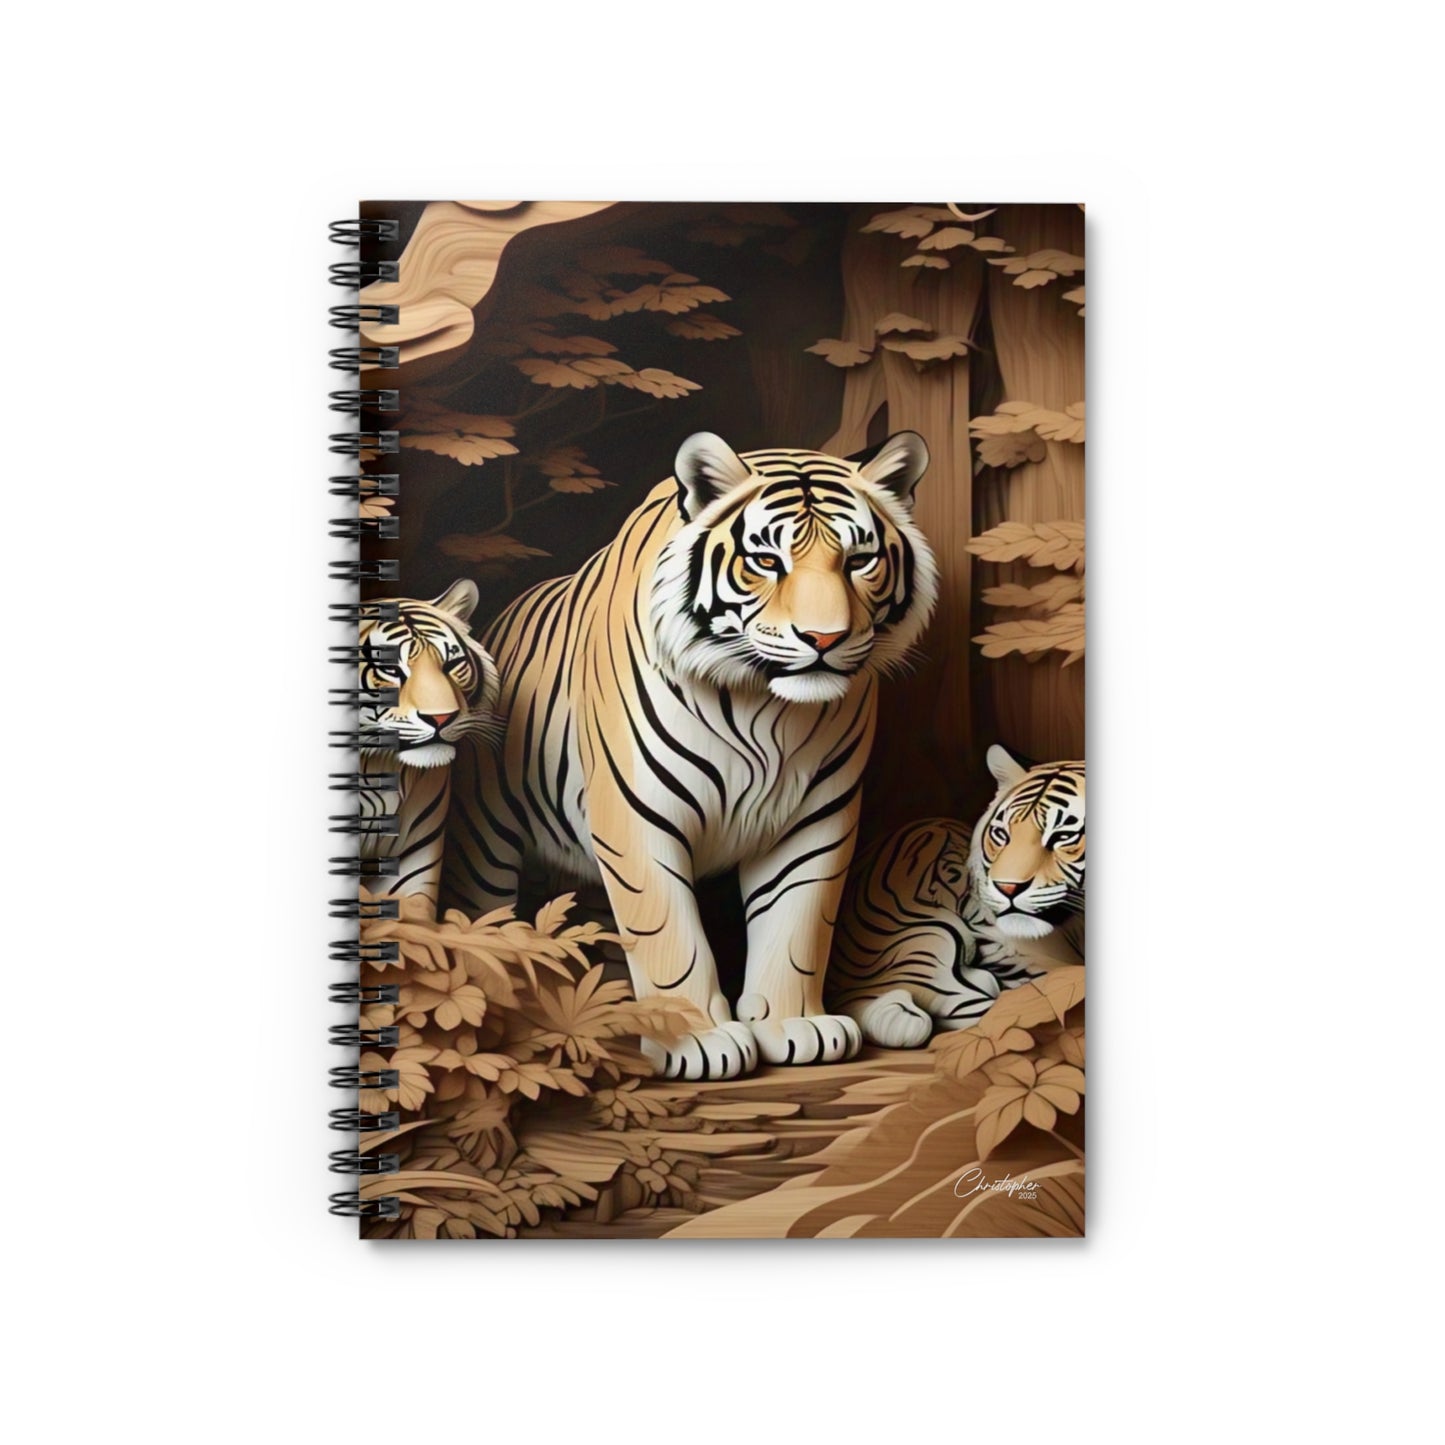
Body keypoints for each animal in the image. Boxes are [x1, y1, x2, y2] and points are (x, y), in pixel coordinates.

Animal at [444, 430, 938, 1080]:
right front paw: (697, 1041)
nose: (824, 639)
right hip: (486, 838)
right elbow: (667, 932)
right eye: (767, 561)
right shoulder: (636, 818)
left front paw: (794, 1025)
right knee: (484, 914)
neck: (766, 707)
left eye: (859, 561)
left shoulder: (817, 818)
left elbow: (798, 922)